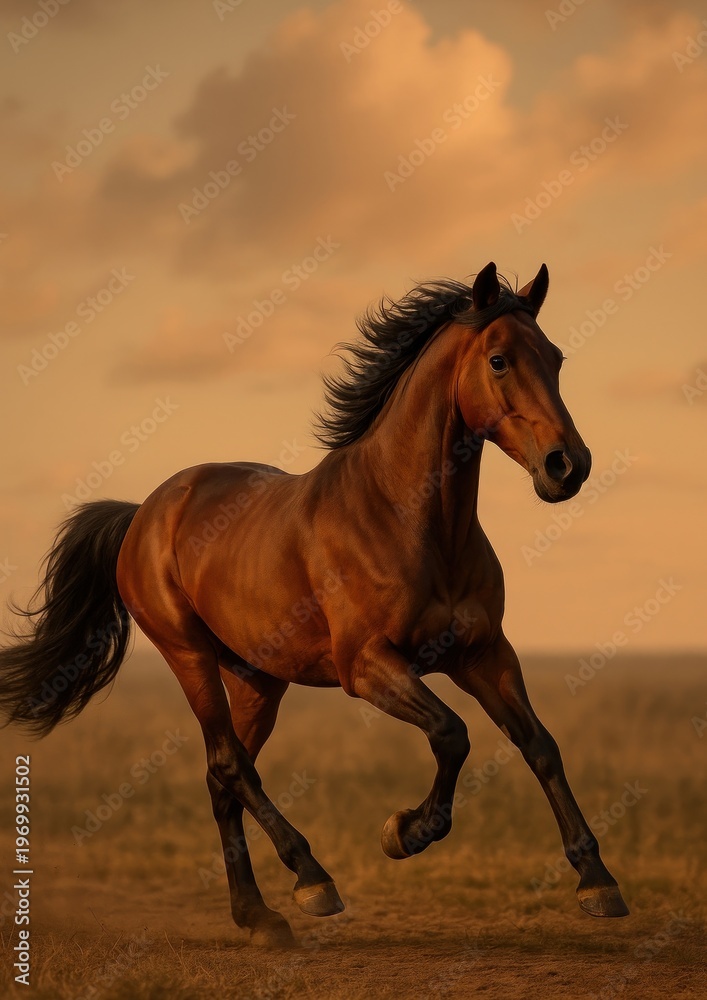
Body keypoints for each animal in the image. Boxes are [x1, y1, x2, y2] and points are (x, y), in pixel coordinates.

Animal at [0, 261, 629, 948]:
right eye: (498, 360)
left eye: (556, 358)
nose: (568, 465)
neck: (409, 519)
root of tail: (145, 512)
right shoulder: (367, 665)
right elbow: (451, 733)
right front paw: (403, 832)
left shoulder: (485, 654)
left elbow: (539, 745)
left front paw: (598, 882)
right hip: (189, 656)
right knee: (231, 765)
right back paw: (311, 880)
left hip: (258, 680)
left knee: (221, 776)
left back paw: (258, 916)